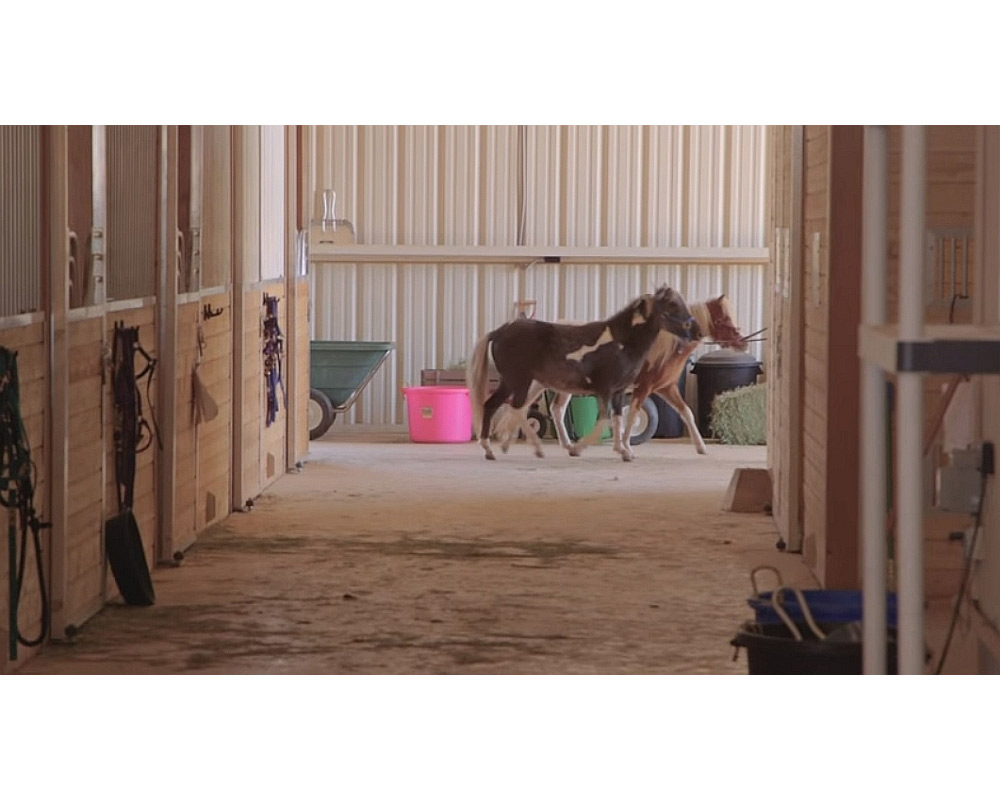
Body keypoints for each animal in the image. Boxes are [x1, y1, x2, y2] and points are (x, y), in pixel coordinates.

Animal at [466, 288, 696, 462]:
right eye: (672, 305)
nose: (693, 329)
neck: (621, 342)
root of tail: (498, 332)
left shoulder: (618, 392)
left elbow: (617, 419)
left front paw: (625, 451)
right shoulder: (604, 390)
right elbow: (604, 420)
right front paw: (583, 449)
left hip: (512, 382)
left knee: (496, 406)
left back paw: (492, 450)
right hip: (519, 381)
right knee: (516, 409)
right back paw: (533, 449)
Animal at [496, 296, 748, 462]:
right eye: (724, 318)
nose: (742, 342)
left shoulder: (665, 388)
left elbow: (686, 412)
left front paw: (701, 447)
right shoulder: (643, 388)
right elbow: (632, 416)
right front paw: (627, 447)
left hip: (553, 386)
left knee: (545, 410)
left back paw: (556, 444)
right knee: (519, 408)